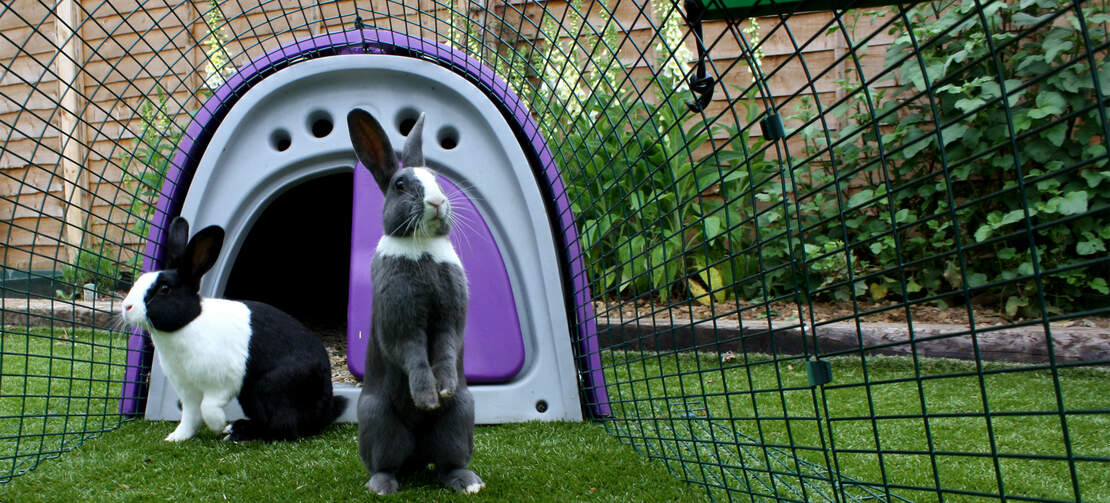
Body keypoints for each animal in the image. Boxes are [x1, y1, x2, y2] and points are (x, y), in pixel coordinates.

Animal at [120, 216, 347, 442]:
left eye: (165, 289)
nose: (126, 307)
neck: (189, 323)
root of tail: (325, 407)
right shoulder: (188, 390)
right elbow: (190, 416)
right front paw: (176, 438)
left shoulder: (222, 382)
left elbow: (208, 407)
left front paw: (217, 425)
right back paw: (237, 429)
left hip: (267, 388)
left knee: (284, 428)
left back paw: (236, 433)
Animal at [348, 108, 484, 495]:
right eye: (400, 186)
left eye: (436, 179)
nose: (437, 203)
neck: (421, 243)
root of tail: (417, 457)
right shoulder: (401, 321)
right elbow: (413, 354)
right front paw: (426, 398)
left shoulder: (451, 317)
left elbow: (446, 349)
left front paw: (445, 388)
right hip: (378, 422)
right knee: (385, 464)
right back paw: (381, 486)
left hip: (461, 420)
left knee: (447, 464)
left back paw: (469, 483)